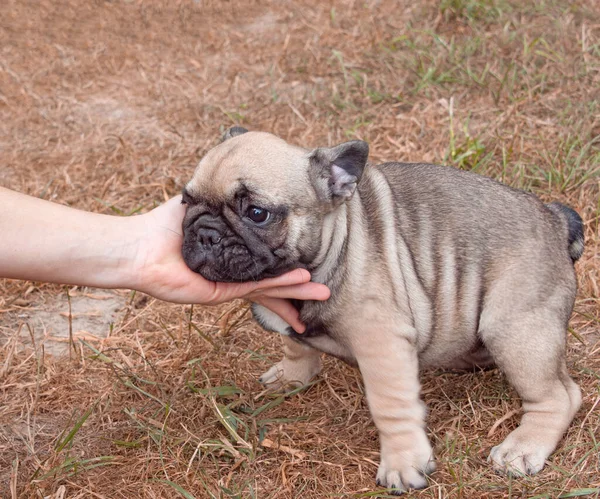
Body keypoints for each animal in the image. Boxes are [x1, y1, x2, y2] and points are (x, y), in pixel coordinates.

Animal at [180, 127, 584, 494]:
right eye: (185, 200)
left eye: (257, 213)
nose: (205, 233)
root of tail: (554, 219)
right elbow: (295, 345)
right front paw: (291, 375)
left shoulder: (381, 343)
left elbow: (391, 406)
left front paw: (404, 464)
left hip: (515, 332)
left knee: (560, 396)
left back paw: (523, 448)